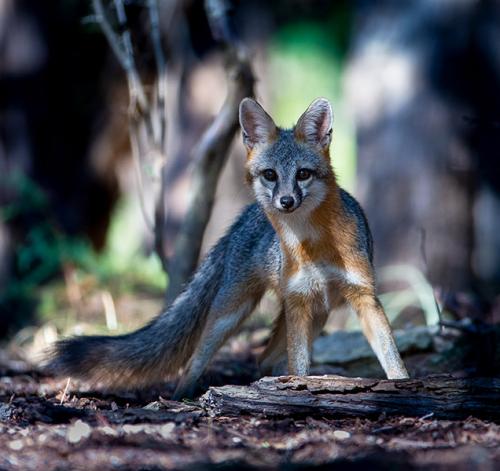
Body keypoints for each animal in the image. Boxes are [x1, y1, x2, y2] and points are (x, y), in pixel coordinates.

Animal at [48, 97, 409, 399]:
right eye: (270, 175)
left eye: (303, 174)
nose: (286, 201)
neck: (315, 244)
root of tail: (242, 220)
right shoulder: (300, 302)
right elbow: (299, 364)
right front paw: (302, 389)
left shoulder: (362, 295)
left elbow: (392, 357)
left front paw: (405, 388)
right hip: (231, 315)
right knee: (197, 362)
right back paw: (181, 399)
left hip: (316, 314)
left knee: (265, 359)